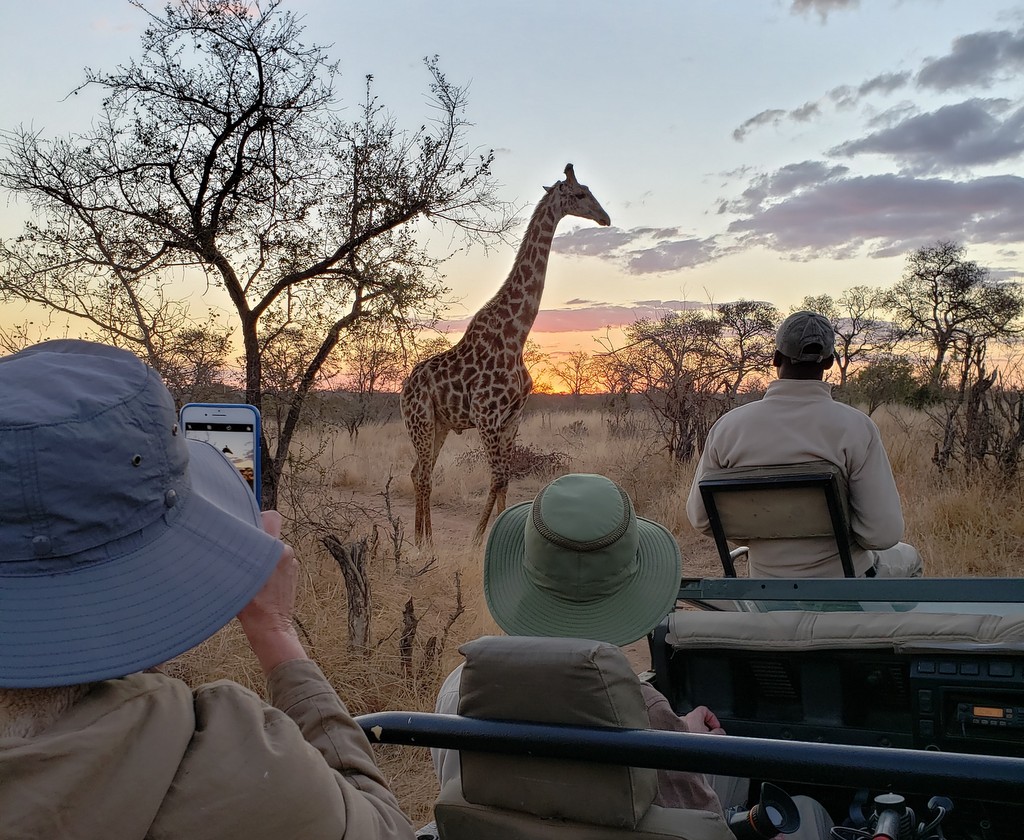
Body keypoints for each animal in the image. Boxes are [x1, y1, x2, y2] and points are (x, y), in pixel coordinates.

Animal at [399, 163, 606, 544]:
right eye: (580, 193)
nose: (605, 217)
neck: (516, 334)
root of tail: (404, 388)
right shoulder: (487, 415)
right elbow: (496, 478)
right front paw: (477, 539)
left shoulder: (512, 417)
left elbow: (506, 481)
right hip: (419, 420)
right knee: (423, 473)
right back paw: (424, 543)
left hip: (439, 424)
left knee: (418, 470)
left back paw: (424, 539)